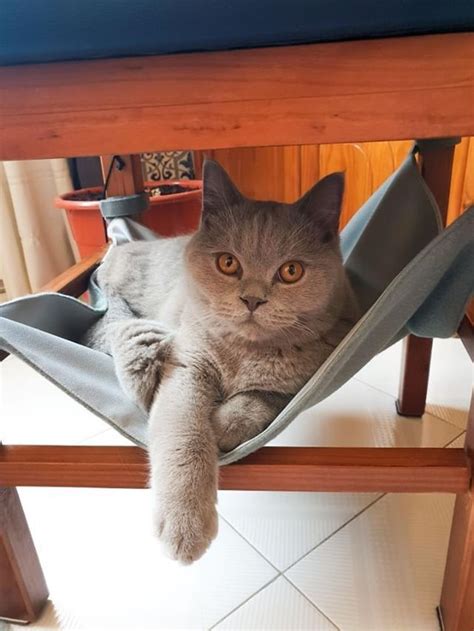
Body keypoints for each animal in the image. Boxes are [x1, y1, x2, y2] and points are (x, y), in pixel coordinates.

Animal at [87, 160, 358, 564]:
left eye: (291, 271)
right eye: (228, 263)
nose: (252, 300)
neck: (247, 352)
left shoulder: (311, 370)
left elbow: (264, 398)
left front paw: (223, 423)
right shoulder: (186, 368)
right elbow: (185, 436)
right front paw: (185, 526)